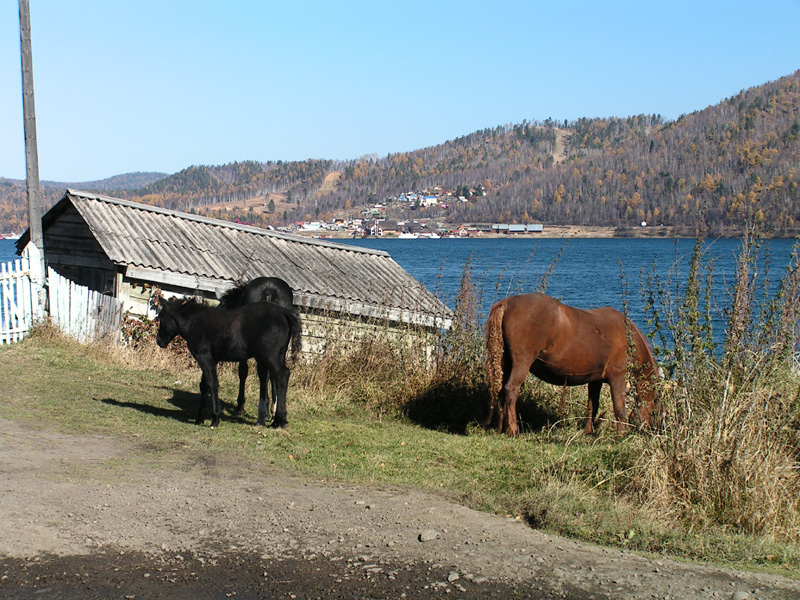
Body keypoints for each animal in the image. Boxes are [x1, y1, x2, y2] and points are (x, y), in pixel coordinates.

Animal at [155, 298, 302, 428]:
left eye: (161, 317)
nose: (159, 340)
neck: (193, 322)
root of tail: (284, 313)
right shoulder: (212, 359)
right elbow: (204, 386)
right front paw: (199, 419)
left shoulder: (204, 357)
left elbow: (212, 384)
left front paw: (215, 419)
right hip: (276, 356)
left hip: (270, 356)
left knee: (282, 375)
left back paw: (279, 420)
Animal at [484, 292, 660, 436]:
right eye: (656, 407)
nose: (651, 429)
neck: (629, 338)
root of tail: (506, 303)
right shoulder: (618, 378)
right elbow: (619, 408)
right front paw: (621, 435)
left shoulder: (595, 380)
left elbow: (592, 406)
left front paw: (588, 432)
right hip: (521, 363)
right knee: (510, 391)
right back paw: (513, 430)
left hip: (506, 363)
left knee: (500, 390)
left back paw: (502, 427)